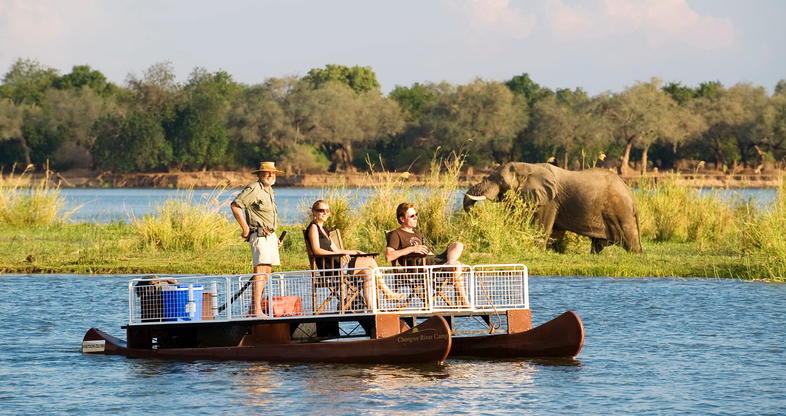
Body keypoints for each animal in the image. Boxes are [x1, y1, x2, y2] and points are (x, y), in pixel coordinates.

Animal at [462, 162, 640, 254]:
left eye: (500, 180)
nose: (475, 214)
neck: (528, 167)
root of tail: (632, 196)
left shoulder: (550, 201)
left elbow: (543, 227)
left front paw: (539, 251)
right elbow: (555, 233)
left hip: (620, 210)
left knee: (629, 237)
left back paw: (636, 254)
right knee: (599, 243)